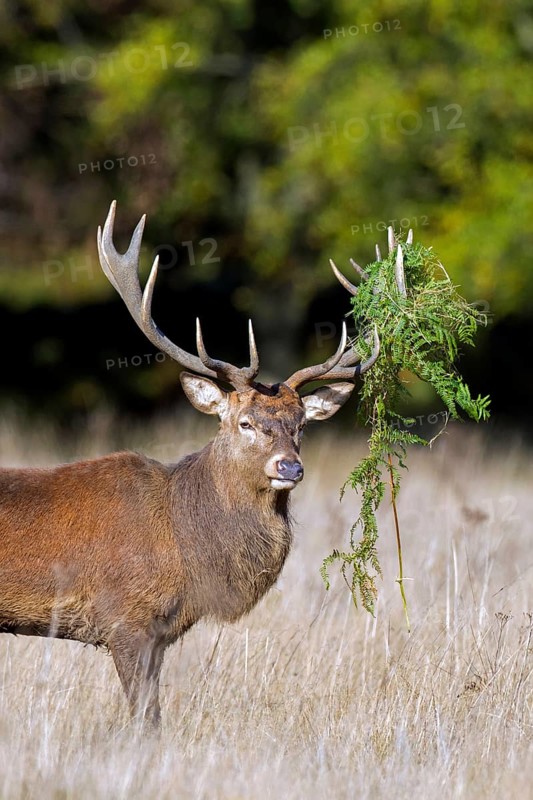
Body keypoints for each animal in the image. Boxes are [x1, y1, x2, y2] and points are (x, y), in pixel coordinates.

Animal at [0, 202, 402, 731]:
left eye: (301, 425)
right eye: (245, 423)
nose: (290, 468)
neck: (185, 544)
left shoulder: (160, 634)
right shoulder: (124, 619)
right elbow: (145, 720)